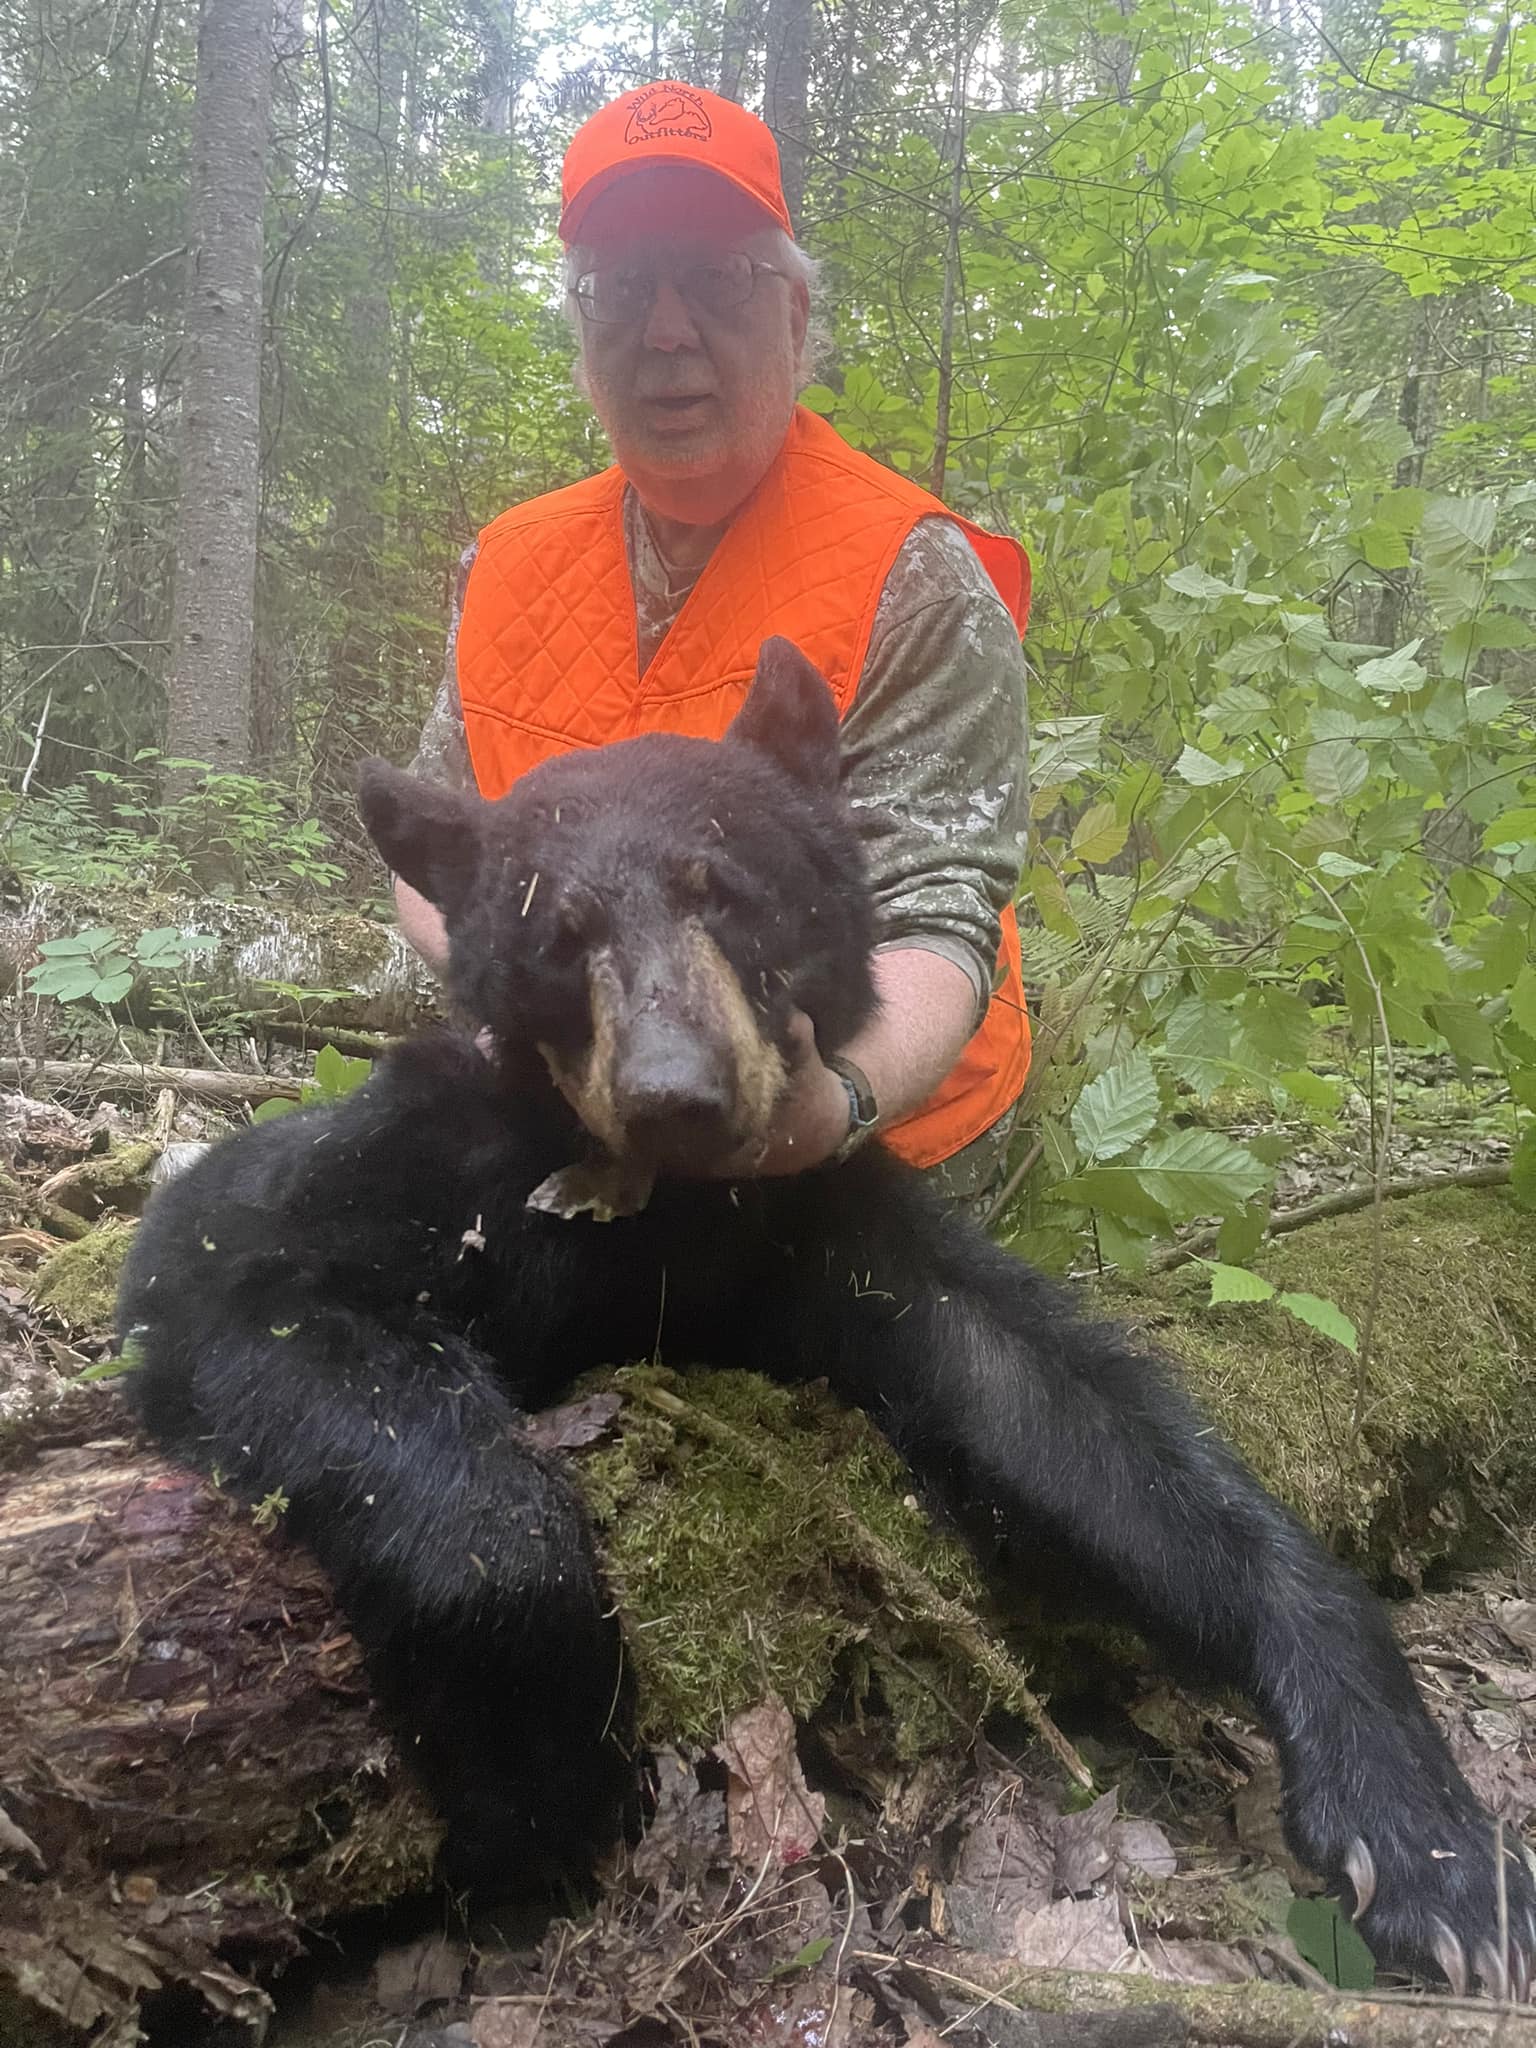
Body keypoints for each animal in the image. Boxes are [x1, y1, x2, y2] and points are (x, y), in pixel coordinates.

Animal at [120, 638, 1534, 1994]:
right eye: (561, 932)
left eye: (724, 887)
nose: (675, 1091)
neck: (666, 1217)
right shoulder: (405, 1172)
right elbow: (238, 1276)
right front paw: (535, 1785)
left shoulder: (822, 1230)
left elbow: (1067, 1405)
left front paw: (1428, 1837)